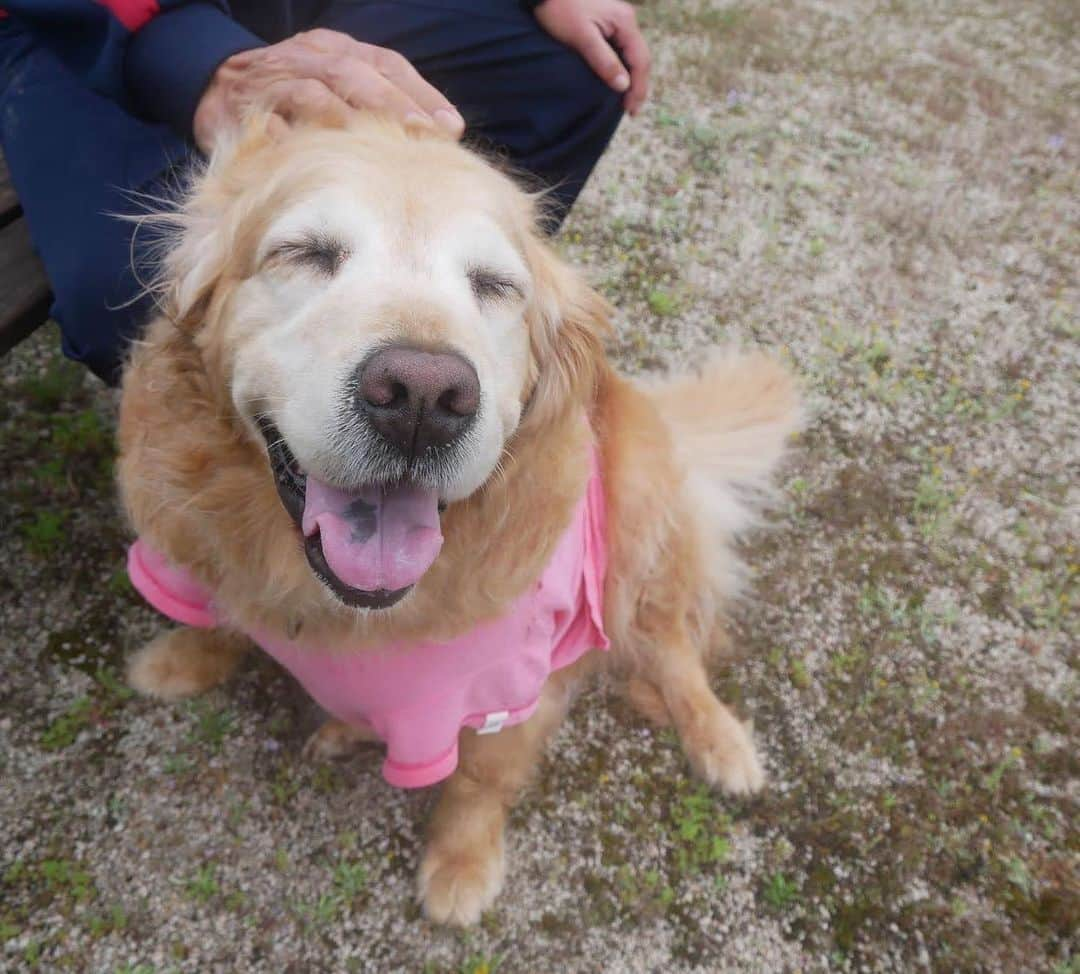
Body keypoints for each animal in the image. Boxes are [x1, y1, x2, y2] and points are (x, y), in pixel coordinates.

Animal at [118, 110, 799, 928]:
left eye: (495, 286)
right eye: (306, 253)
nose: (421, 396)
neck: (337, 605)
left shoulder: (512, 686)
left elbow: (479, 778)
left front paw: (462, 865)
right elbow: (218, 617)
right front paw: (178, 659)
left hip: (638, 517)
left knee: (675, 653)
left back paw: (723, 744)